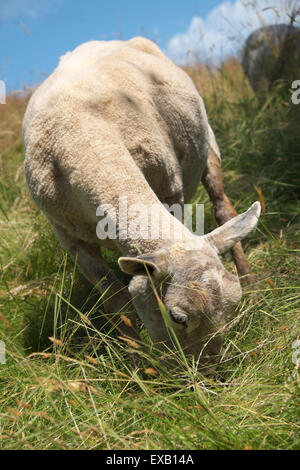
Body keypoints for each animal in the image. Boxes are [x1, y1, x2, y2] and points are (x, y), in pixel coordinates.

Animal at [22, 37, 260, 370]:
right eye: (178, 317)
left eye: (232, 304)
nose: (207, 374)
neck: (83, 134)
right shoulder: (71, 241)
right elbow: (116, 300)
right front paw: (136, 362)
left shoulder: (171, 194)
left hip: (209, 145)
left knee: (222, 208)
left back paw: (250, 279)